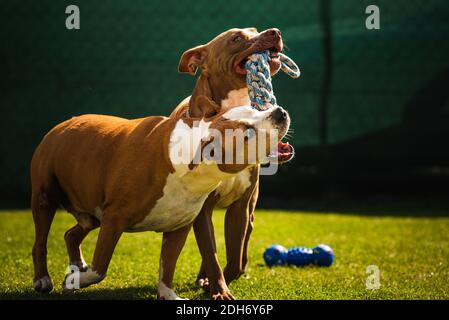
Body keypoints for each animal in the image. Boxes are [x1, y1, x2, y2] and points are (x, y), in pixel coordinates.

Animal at [172, 26, 294, 298]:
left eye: (255, 30)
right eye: (236, 38)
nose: (275, 31)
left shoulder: (240, 207)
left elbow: (235, 256)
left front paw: (221, 282)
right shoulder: (202, 210)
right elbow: (210, 251)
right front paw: (218, 288)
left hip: (251, 208)